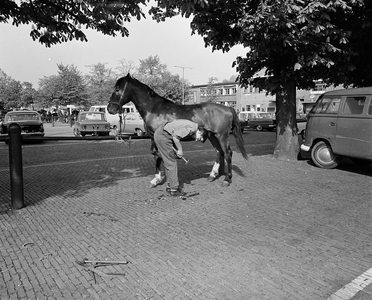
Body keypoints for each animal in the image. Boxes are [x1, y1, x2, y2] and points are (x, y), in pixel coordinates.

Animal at [107, 74, 247, 188]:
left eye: (117, 89)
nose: (110, 108)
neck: (154, 109)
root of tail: (228, 108)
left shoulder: (157, 137)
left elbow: (158, 155)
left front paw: (159, 178)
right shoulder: (153, 137)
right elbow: (156, 154)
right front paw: (158, 179)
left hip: (221, 136)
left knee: (227, 153)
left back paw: (227, 179)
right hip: (213, 136)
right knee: (219, 152)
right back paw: (213, 175)